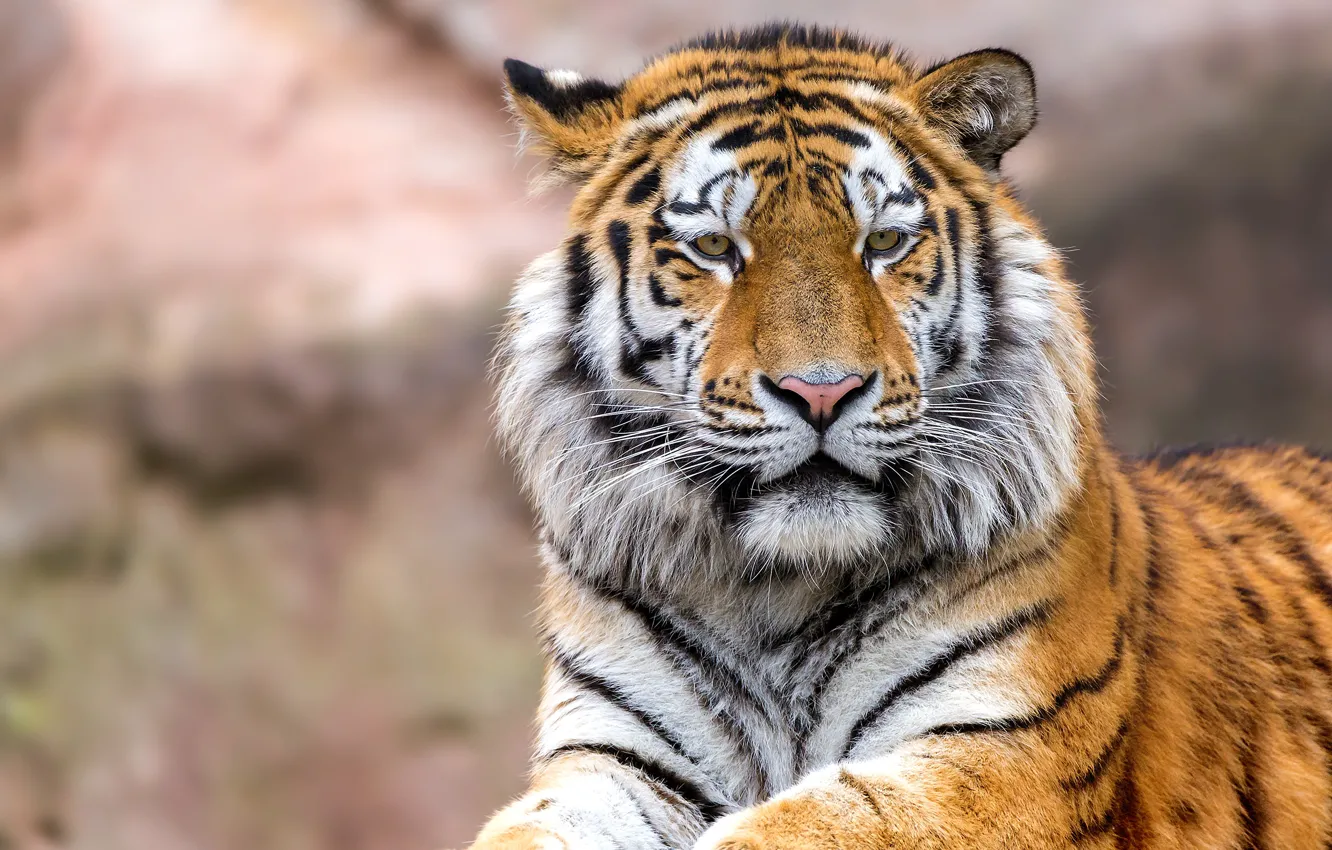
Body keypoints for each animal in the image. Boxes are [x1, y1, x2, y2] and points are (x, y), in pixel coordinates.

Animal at [472, 23, 1332, 850]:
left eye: (883, 243)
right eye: (714, 248)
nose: (822, 391)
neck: (775, 594)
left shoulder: (1006, 754)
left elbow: (800, 829)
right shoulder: (614, 760)